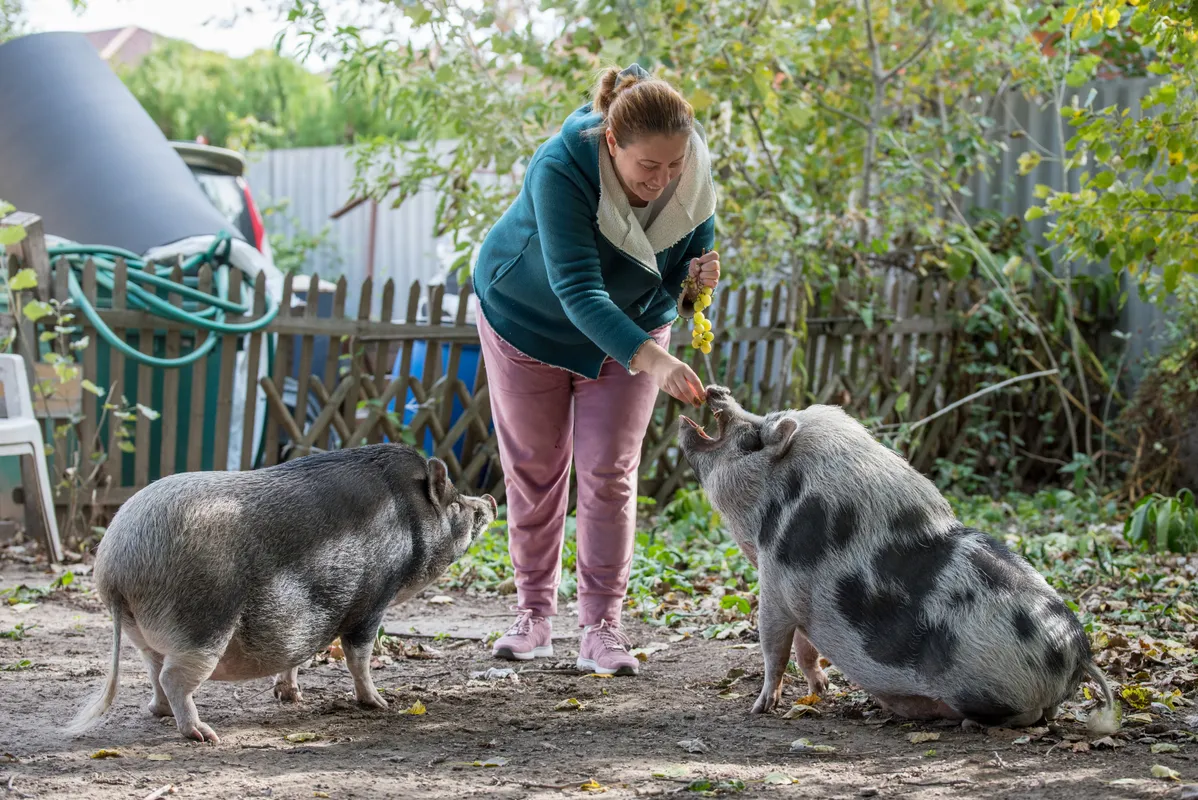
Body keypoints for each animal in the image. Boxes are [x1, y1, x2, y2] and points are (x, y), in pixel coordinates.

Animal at [65, 444, 497, 743]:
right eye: (456, 503)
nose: (490, 500)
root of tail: (116, 566)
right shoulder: (372, 602)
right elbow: (358, 656)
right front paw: (382, 704)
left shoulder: (311, 616)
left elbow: (297, 655)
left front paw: (292, 697)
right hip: (203, 625)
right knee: (173, 677)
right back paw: (203, 735)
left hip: (145, 634)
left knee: (153, 671)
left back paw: (163, 714)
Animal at [678, 386, 1119, 734]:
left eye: (755, 437)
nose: (717, 390)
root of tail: (1078, 654)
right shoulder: (792, 593)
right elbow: (804, 648)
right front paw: (820, 691)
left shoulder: (774, 581)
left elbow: (774, 646)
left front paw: (759, 708)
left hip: (994, 692)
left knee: (1028, 716)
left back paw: (964, 721)